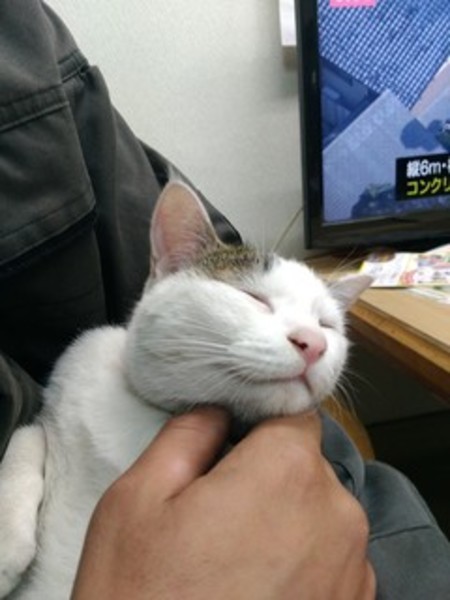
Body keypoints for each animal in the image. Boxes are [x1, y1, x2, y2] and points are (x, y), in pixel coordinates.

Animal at [0, 181, 371, 599]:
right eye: (253, 298)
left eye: (327, 326)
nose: (314, 343)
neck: (150, 416)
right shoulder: (66, 389)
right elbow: (27, 436)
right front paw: (6, 546)